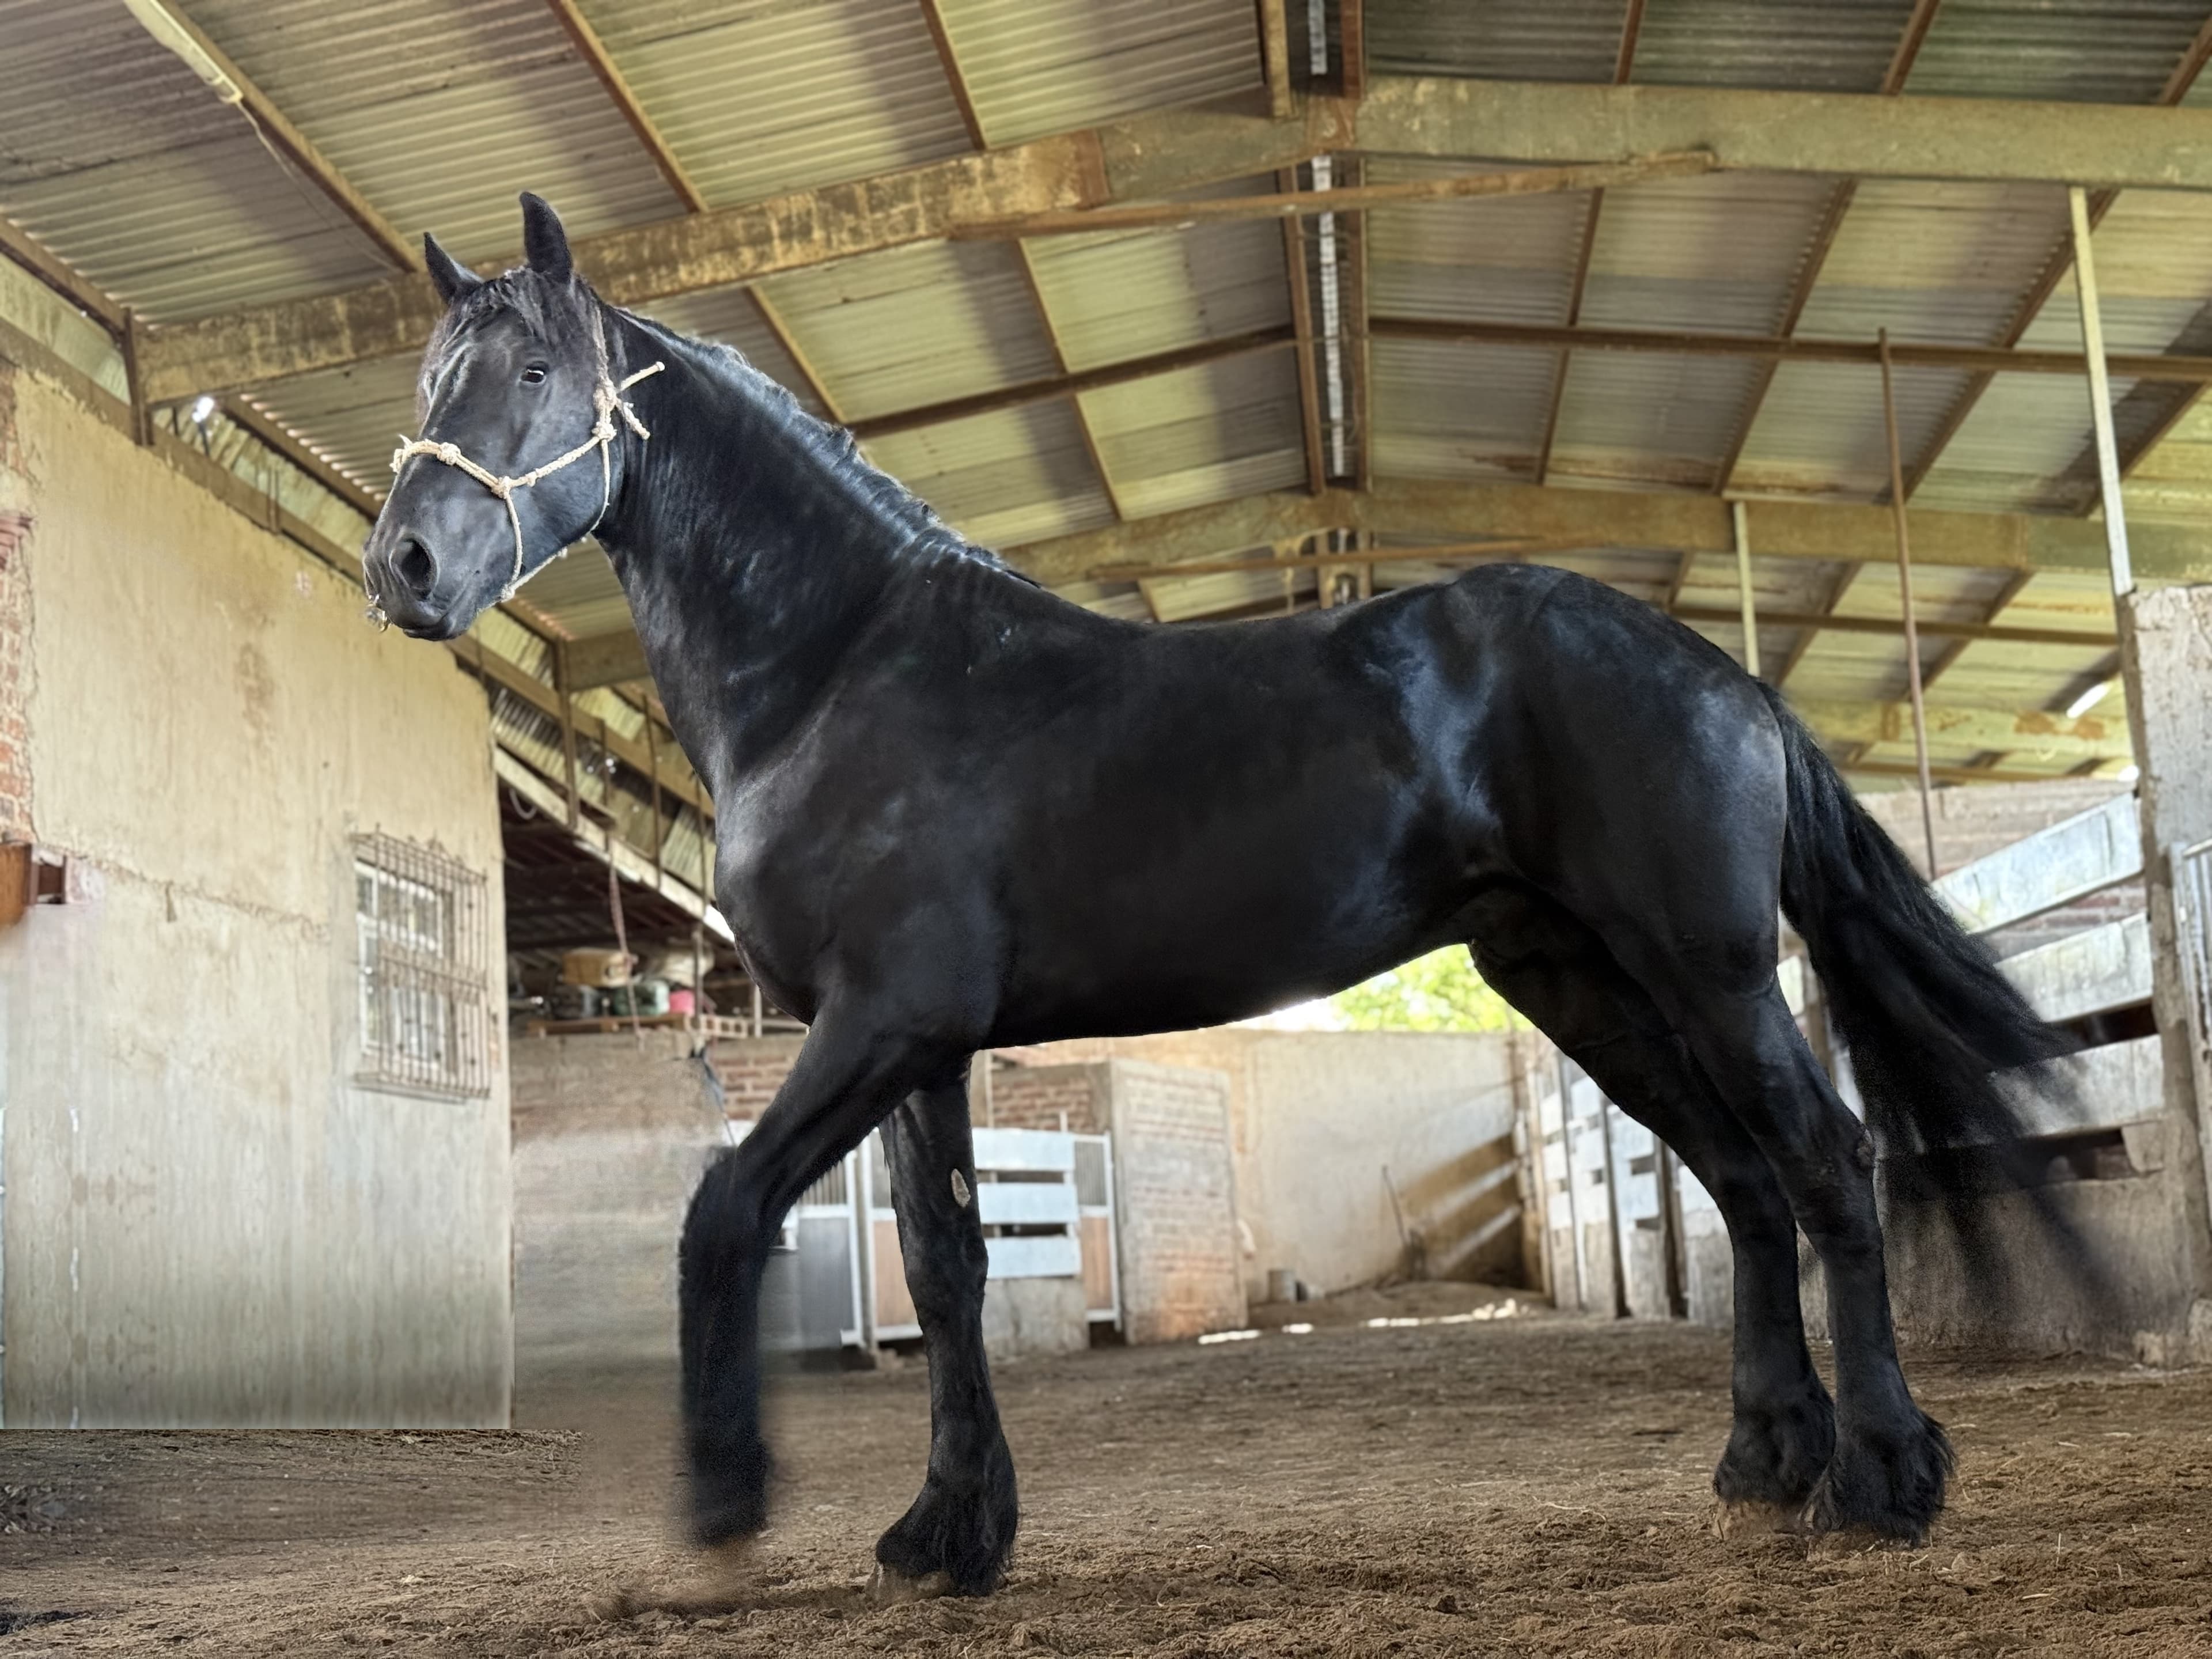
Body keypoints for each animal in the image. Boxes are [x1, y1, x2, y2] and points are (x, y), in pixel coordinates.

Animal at [362, 194, 2073, 1609]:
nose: (405, 569)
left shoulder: (879, 1022)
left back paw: (1882, 1481)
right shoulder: (923, 1049)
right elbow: (949, 1265)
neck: (845, 669)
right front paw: (951, 1532)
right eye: (426, 388)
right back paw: (1764, 1466)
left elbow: (724, 1211)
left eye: (533, 378)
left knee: (1826, 1159)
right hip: (1580, 980)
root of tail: (1724, 676)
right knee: (1739, 1180)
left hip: (1705, 969)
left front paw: (725, 1514)